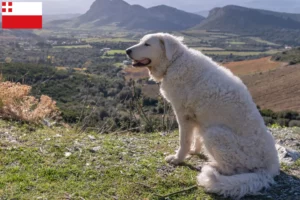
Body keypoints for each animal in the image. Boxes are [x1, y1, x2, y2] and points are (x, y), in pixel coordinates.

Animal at [125, 32, 280, 198]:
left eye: (147, 44)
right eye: (141, 41)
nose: (127, 51)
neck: (175, 61)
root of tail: (269, 169)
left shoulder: (183, 115)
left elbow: (184, 141)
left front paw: (178, 158)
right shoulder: (197, 118)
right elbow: (196, 138)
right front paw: (195, 151)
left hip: (214, 133)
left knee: (231, 169)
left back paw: (211, 165)